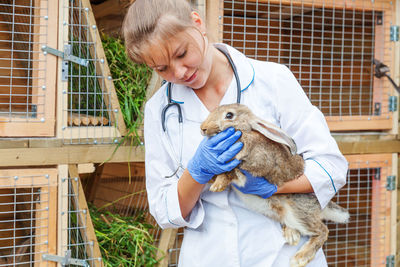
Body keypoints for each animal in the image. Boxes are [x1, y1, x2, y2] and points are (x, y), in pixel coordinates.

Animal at [202, 103, 348, 267]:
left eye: (229, 115)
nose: (203, 128)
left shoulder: (255, 164)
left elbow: (232, 172)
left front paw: (217, 185)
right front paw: (210, 177)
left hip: (298, 211)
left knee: (323, 230)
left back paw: (300, 258)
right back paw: (291, 235)